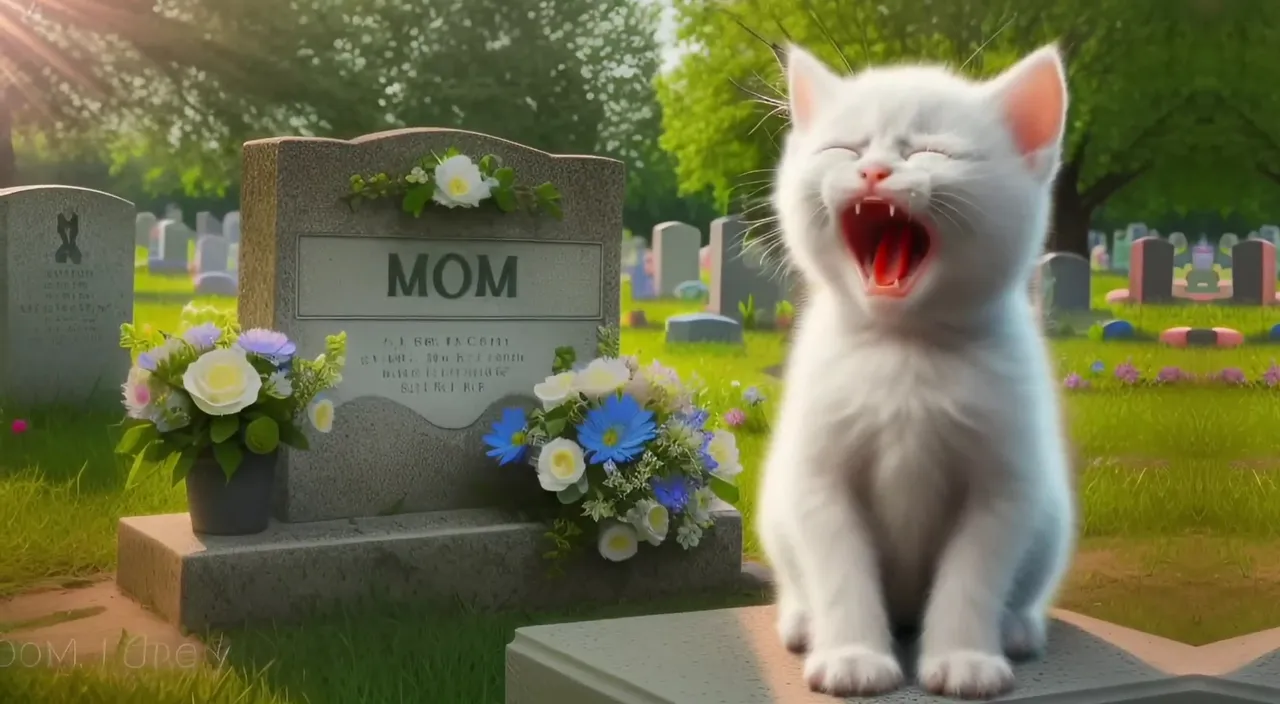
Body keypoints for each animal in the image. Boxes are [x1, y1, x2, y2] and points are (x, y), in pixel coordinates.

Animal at [752, 47, 1075, 701]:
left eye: (932, 150)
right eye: (844, 148)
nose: (874, 172)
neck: (905, 348)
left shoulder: (1006, 485)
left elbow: (974, 575)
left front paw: (964, 658)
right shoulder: (818, 478)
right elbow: (840, 568)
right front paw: (852, 655)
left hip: (1051, 515)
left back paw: (1017, 628)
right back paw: (802, 621)